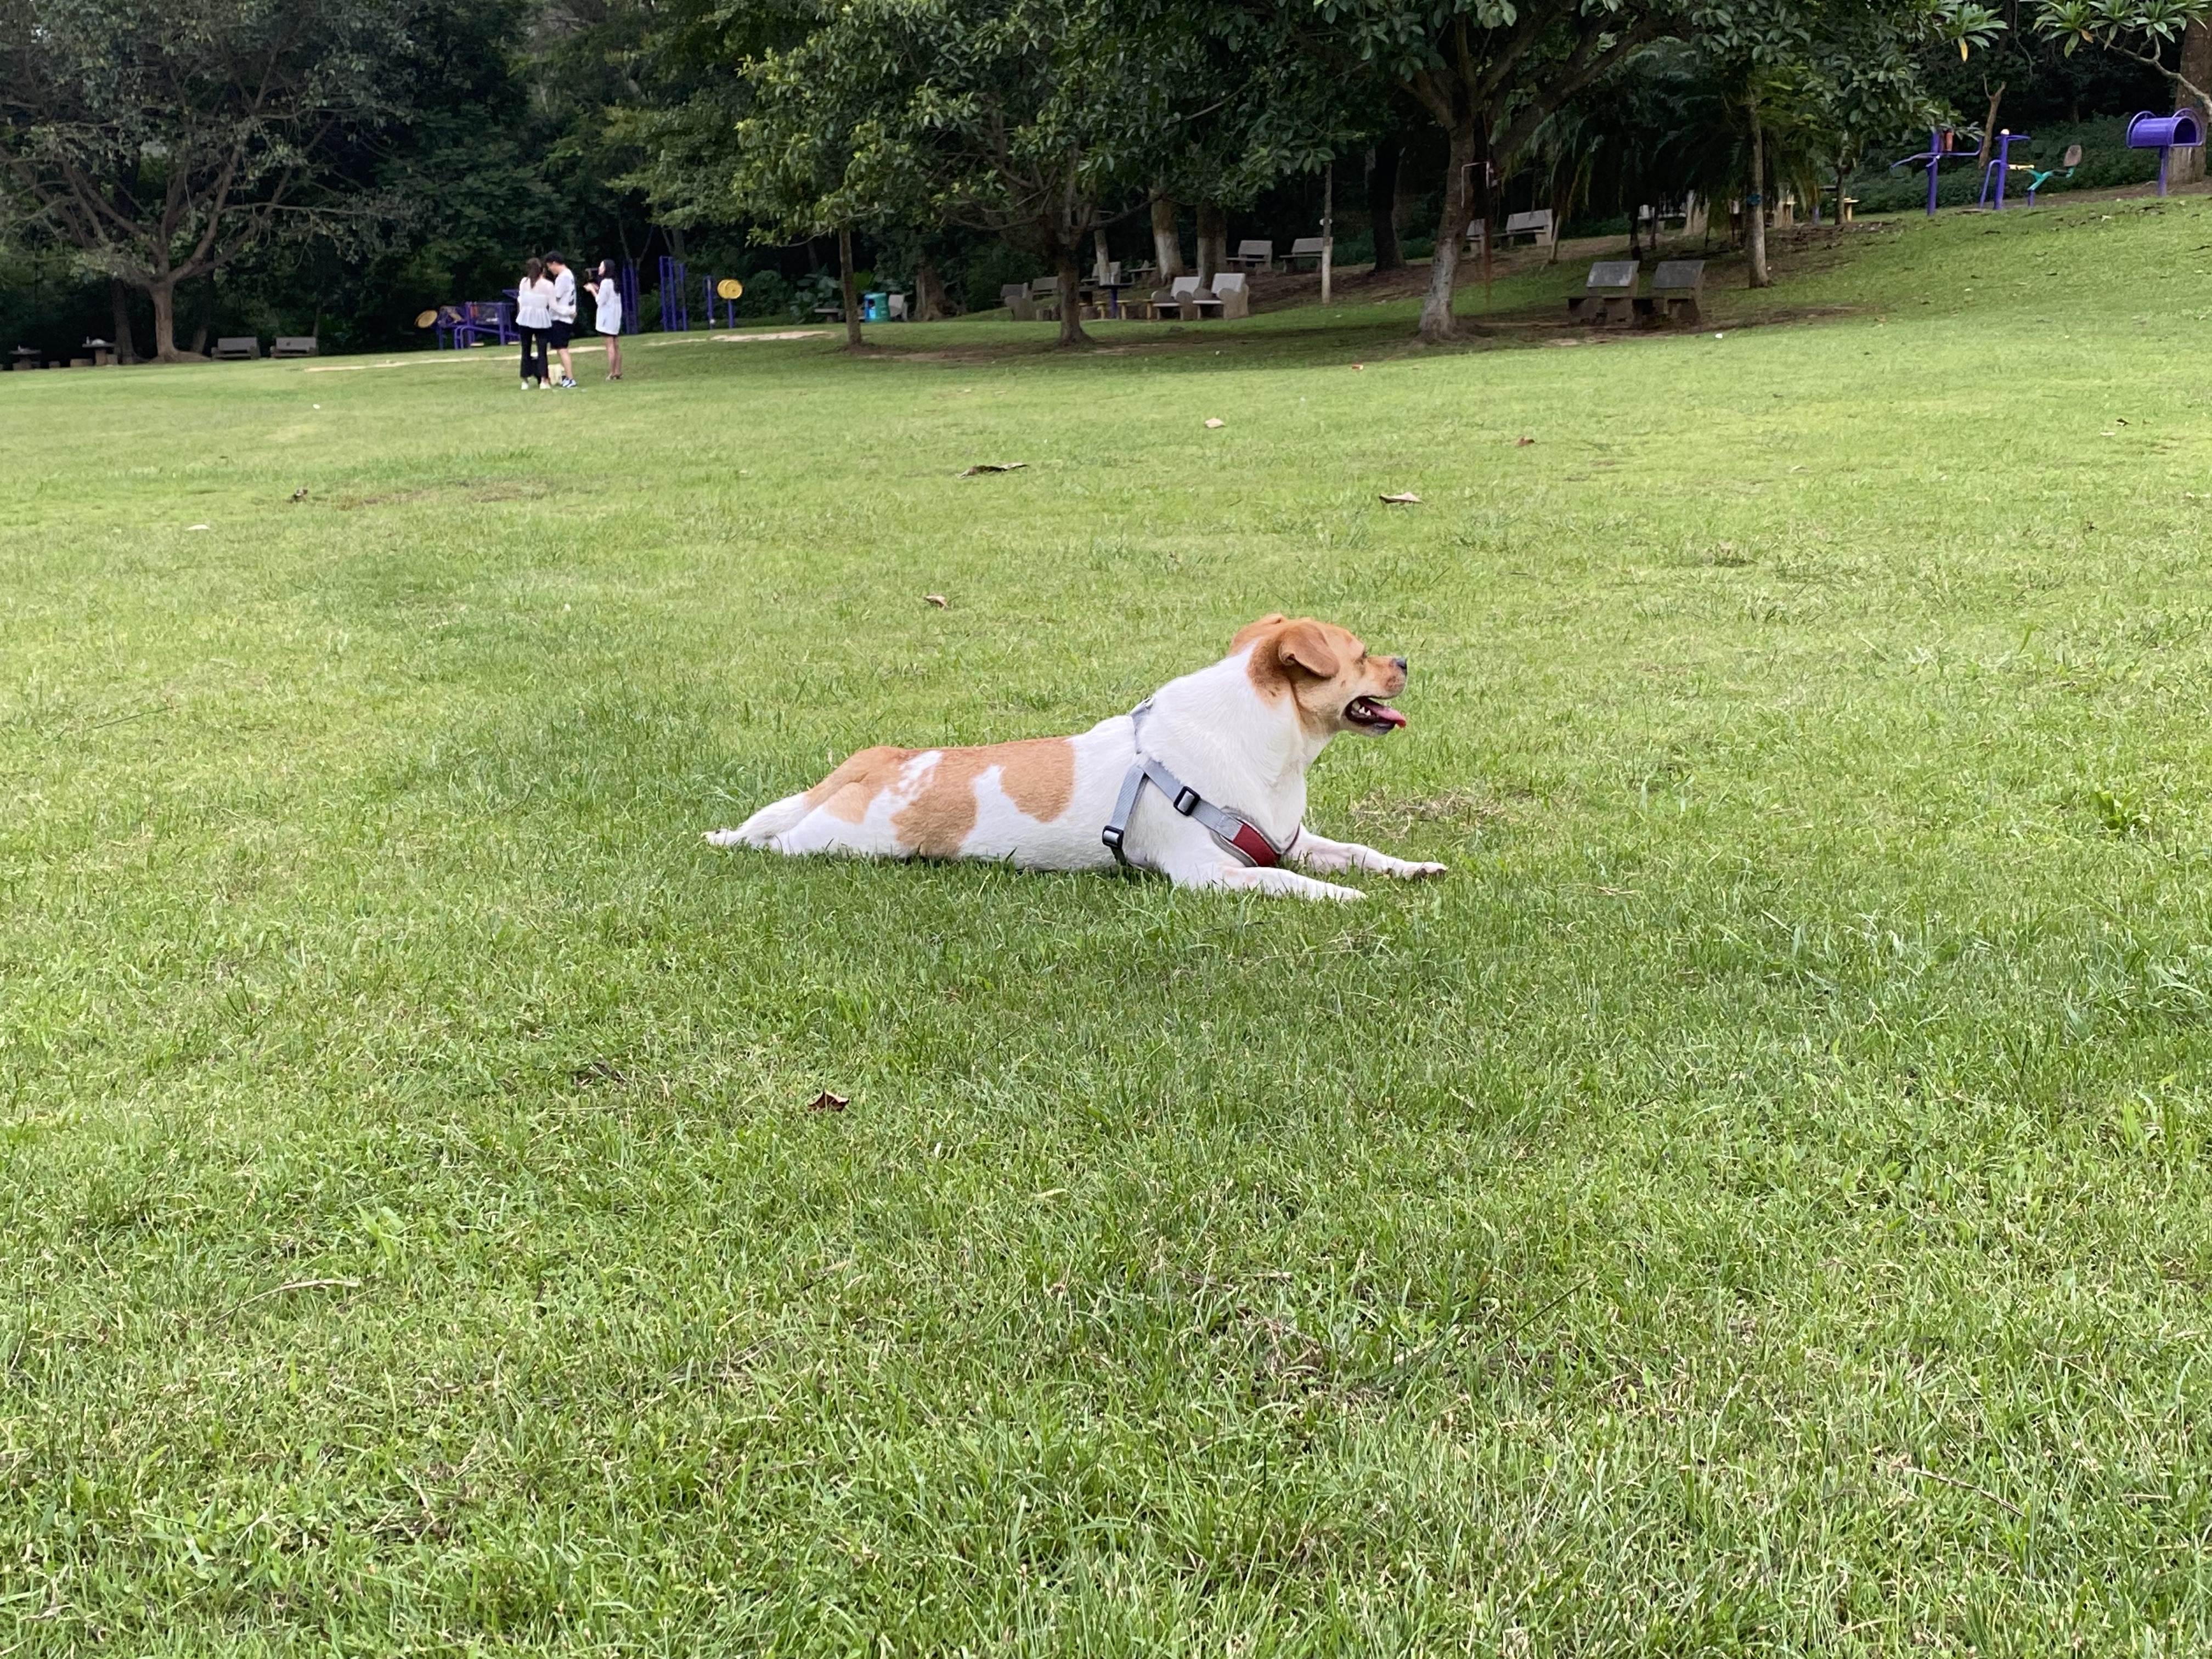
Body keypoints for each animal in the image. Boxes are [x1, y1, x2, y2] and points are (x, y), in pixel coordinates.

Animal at [706, 614, 1446, 901]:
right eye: (1361, 655)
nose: (1408, 661)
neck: (1274, 751)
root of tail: (880, 761)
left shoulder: (1291, 840)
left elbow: (1358, 852)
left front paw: (1411, 869)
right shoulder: (1208, 874)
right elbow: (1291, 883)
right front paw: (1344, 897)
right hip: (834, 840)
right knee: (774, 841)